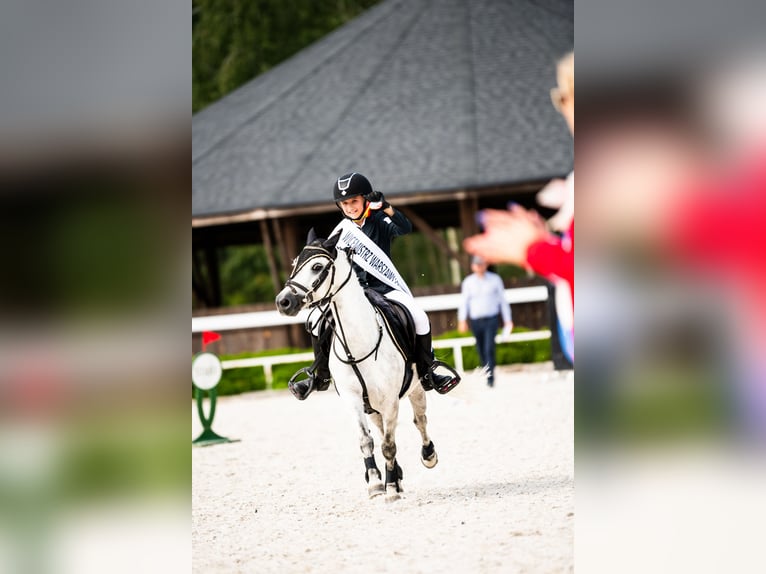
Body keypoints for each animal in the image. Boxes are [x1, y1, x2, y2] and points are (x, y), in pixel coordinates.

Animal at [275, 230, 439, 502]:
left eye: (317, 267)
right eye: (294, 264)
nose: (283, 301)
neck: (358, 344)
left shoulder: (390, 400)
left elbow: (389, 444)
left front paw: (390, 489)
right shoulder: (353, 399)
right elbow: (366, 441)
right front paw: (375, 483)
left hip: (415, 389)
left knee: (420, 421)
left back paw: (427, 456)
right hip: (371, 406)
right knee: (381, 430)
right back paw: (395, 476)